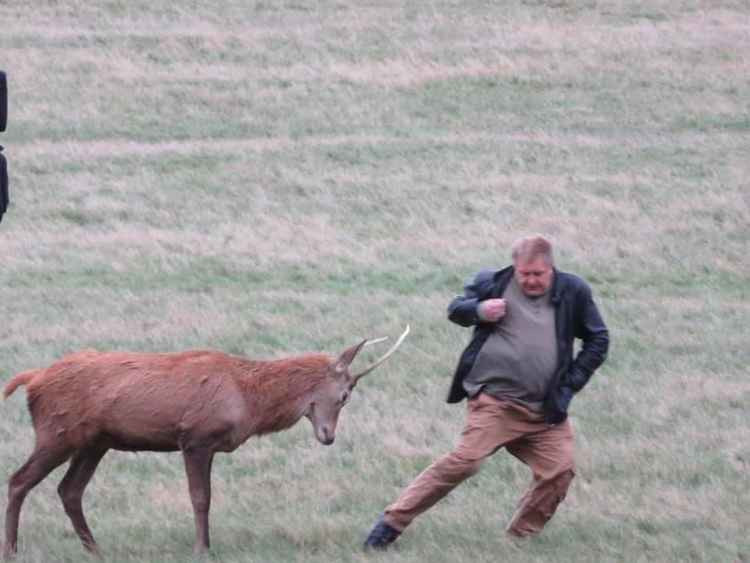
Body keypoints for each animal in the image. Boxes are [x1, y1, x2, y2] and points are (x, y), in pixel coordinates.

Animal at [1, 326, 412, 560]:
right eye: (344, 395)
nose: (329, 436)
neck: (248, 399)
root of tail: (32, 380)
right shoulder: (195, 437)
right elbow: (200, 497)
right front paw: (201, 548)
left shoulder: (209, 445)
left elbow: (207, 497)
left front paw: (206, 544)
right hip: (57, 432)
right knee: (19, 480)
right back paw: (13, 548)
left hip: (94, 442)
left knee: (69, 490)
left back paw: (94, 549)